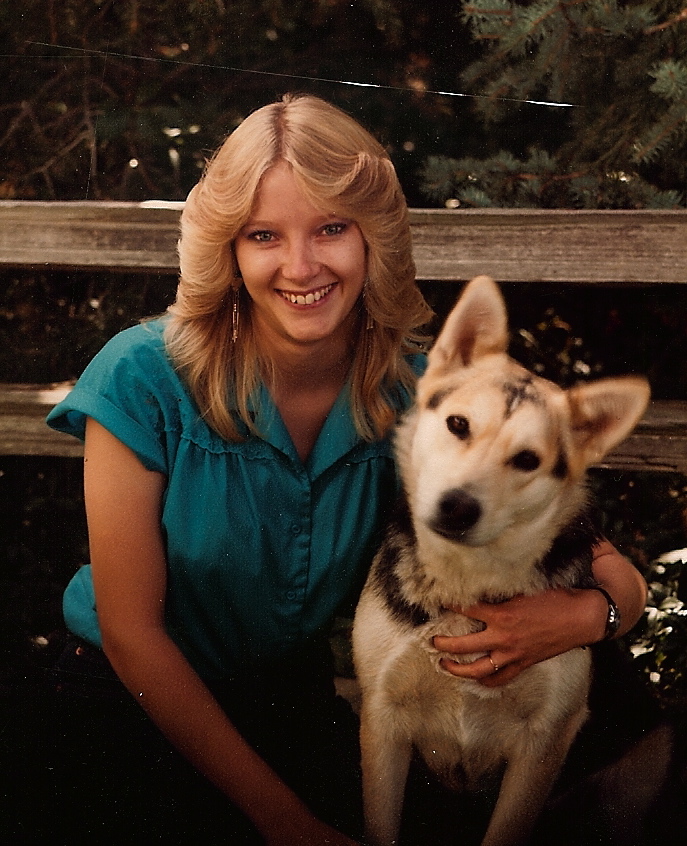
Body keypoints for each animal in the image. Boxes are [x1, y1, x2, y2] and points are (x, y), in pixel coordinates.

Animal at [354, 278, 652, 846]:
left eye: (528, 460)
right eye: (458, 425)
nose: (458, 505)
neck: (469, 582)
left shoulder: (546, 741)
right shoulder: (383, 718)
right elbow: (380, 822)